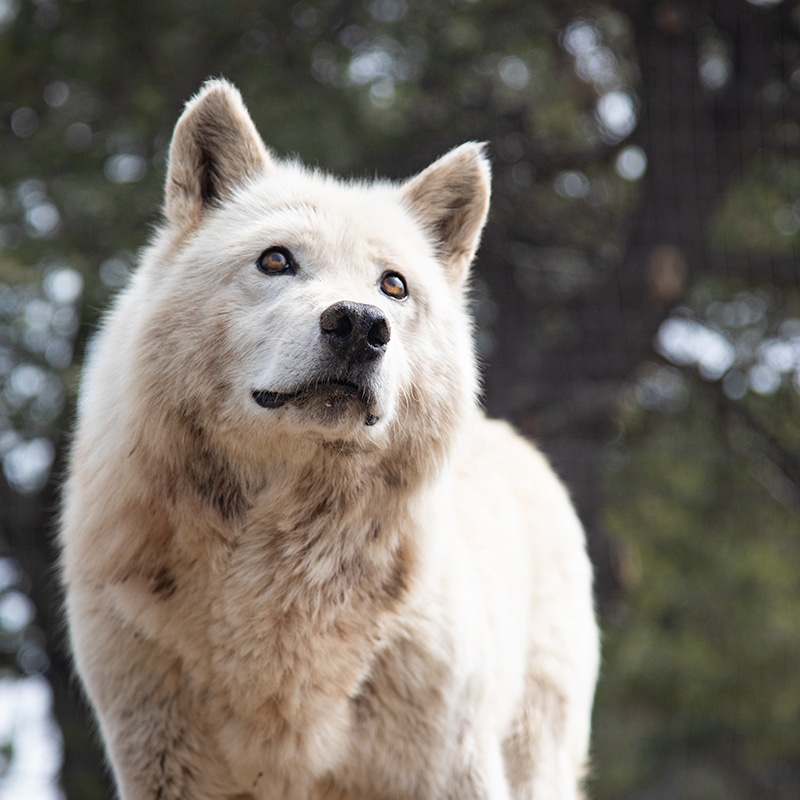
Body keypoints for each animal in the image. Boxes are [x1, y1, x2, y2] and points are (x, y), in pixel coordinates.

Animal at [62, 76, 596, 800]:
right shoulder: (164, 761)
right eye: (276, 259)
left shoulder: (448, 766)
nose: (361, 325)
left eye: (393, 285)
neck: (283, 571)